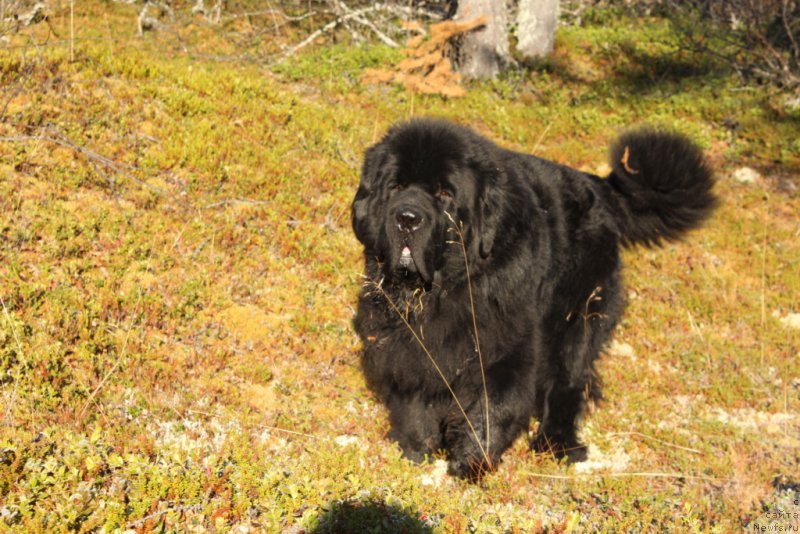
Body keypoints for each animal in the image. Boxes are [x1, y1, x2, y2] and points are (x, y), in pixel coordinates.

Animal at [354, 118, 716, 482]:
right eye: (395, 187)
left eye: (444, 193)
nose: (407, 217)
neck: (446, 290)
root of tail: (597, 186)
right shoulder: (405, 344)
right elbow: (414, 396)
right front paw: (416, 451)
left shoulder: (507, 341)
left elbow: (496, 404)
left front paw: (472, 461)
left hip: (578, 318)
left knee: (569, 381)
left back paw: (558, 443)